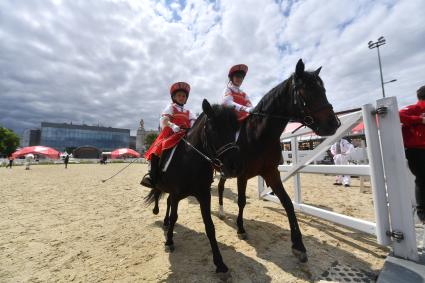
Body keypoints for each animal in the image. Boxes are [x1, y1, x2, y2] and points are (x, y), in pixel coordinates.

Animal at [145, 100, 238, 276]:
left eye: (235, 130)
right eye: (214, 129)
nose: (234, 166)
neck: (190, 160)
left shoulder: (204, 195)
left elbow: (210, 226)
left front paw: (220, 263)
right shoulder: (176, 194)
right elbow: (175, 216)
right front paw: (169, 241)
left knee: (166, 201)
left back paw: (165, 221)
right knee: (158, 193)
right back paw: (157, 212)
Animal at [215, 59, 342, 264]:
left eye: (323, 89)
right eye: (306, 91)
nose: (333, 124)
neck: (257, 135)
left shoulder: (271, 173)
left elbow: (288, 203)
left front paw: (298, 246)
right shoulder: (242, 175)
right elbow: (241, 201)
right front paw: (241, 229)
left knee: (219, 186)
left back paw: (220, 211)